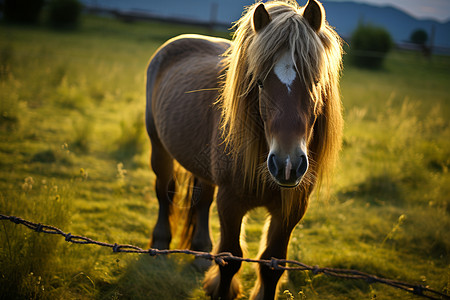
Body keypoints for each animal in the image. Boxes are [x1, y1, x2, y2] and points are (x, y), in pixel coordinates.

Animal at [146, 1, 342, 298]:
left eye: (316, 81)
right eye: (259, 82)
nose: (287, 164)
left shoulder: (291, 209)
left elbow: (272, 265)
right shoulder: (230, 203)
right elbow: (230, 259)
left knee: (202, 200)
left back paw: (200, 253)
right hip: (160, 149)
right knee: (164, 192)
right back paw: (159, 244)